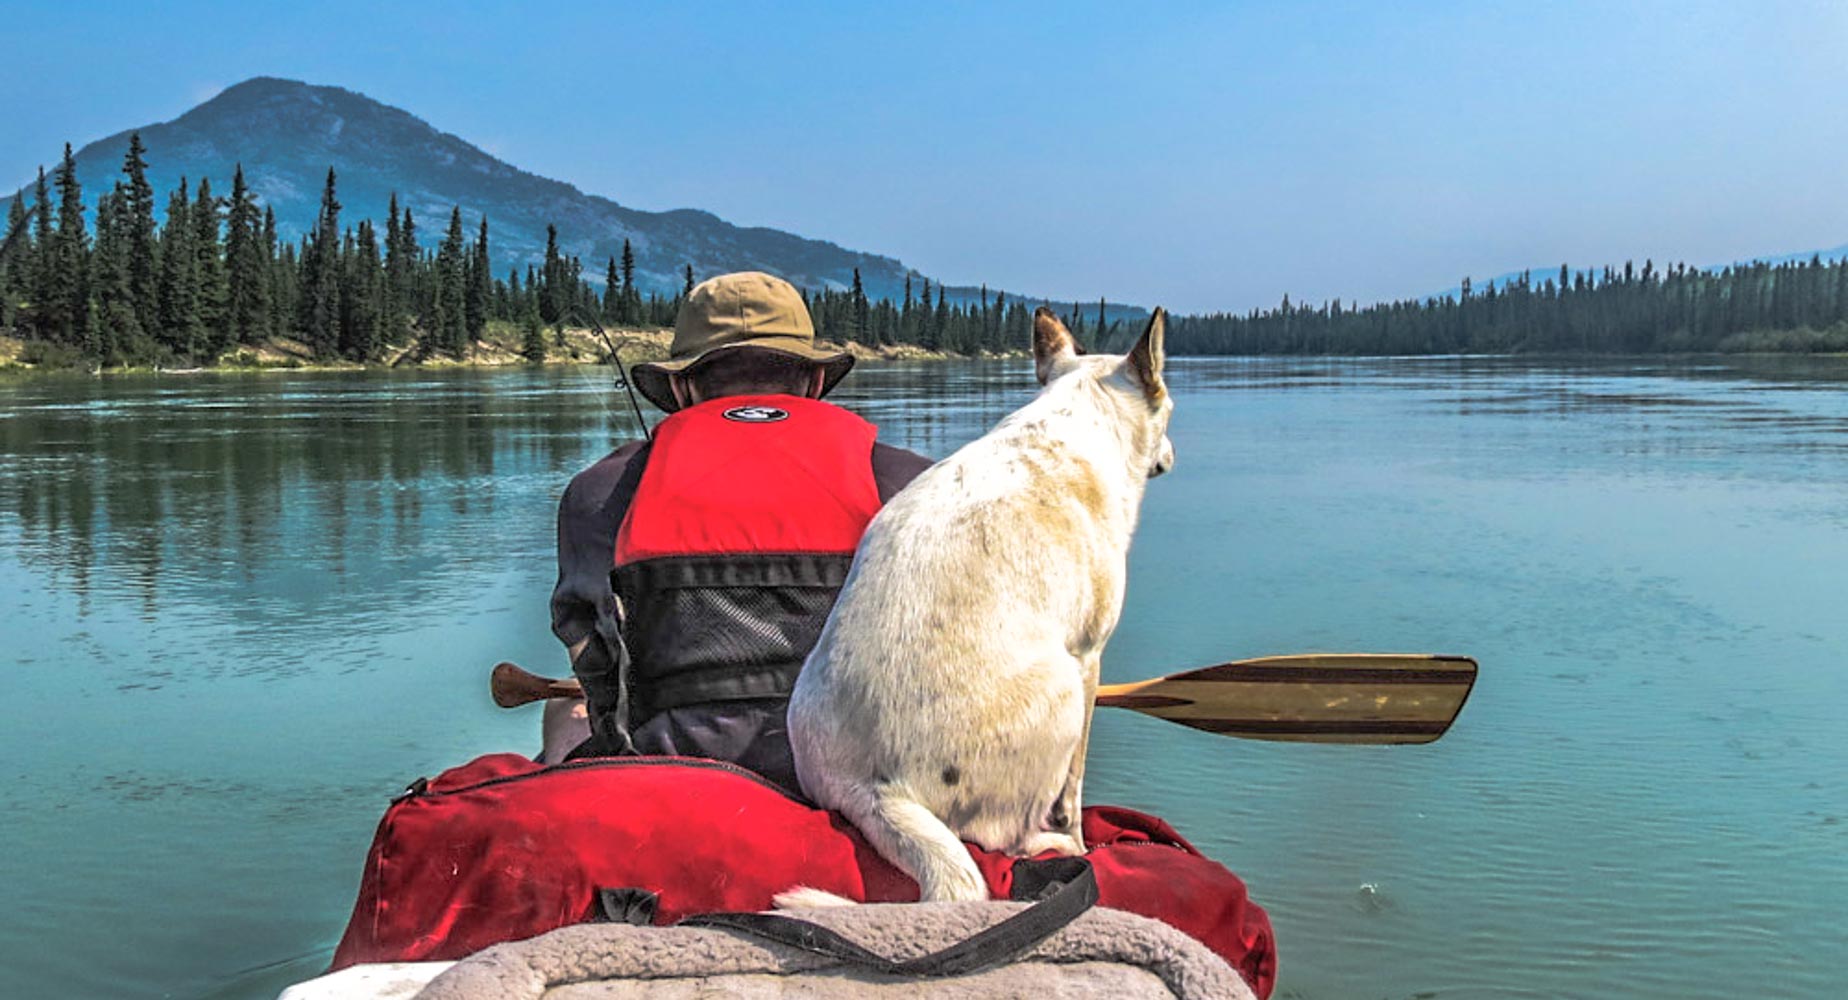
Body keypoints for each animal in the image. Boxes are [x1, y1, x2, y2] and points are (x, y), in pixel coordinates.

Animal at [787, 306, 1175, 905]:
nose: (1173, 455)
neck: (1074, 417)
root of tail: (870, 788)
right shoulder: (1089, 657)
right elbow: (1074, 790)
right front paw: (1079, 839)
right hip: (1062, 687)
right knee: (1003, 838)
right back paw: (1050, 846)